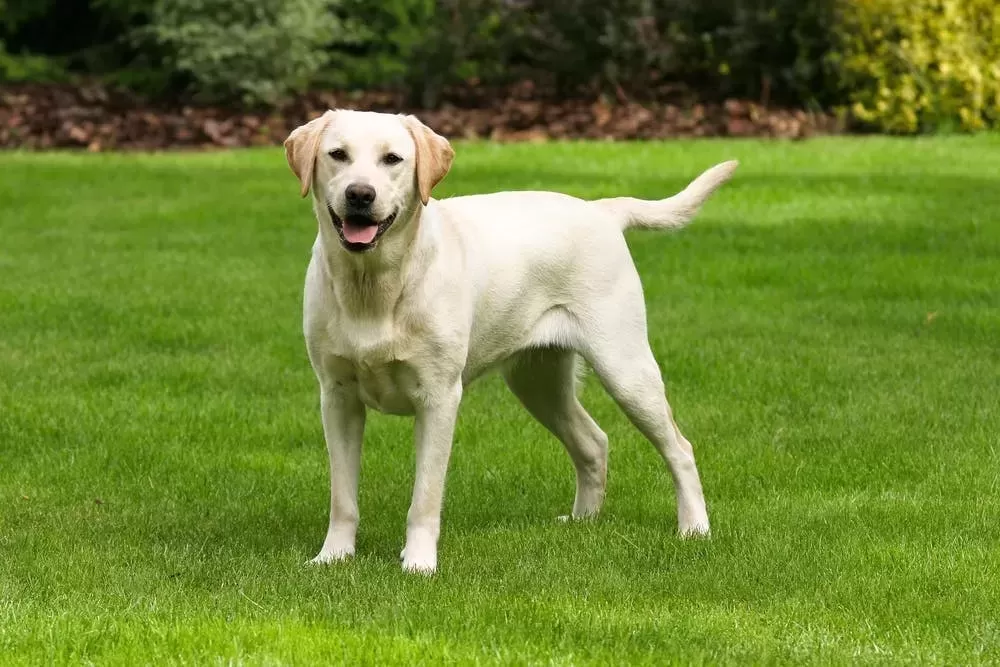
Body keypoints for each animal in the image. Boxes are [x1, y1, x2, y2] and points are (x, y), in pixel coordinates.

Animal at [286, 109, 740, 576]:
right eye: (338, 155)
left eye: (392, 159)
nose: (360, 194)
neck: (374, 285)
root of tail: (601, 209)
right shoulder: (337, 397)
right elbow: (342, 496)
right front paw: (333, 556)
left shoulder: (438, 397)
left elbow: (425, 496)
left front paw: (419, 563)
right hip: (537, 382)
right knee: (594, 441)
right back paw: (583, 520)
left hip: (625, 368)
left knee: (680, 448)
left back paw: (694, 528)